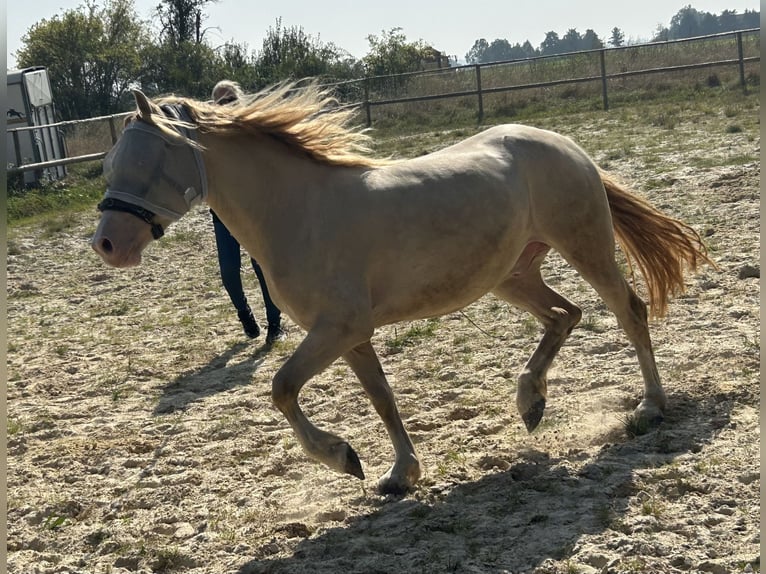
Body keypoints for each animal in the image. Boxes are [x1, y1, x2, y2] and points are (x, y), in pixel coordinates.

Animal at [90, 83, 712, 498]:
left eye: (146, 161)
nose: (107, 245)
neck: (299, 211)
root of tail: (565, 143)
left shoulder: (338, 327)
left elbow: (282, 388)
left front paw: (343, 458)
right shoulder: (349, 335)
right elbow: (382, 398)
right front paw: (396, 473)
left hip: (584, 247)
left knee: (628, 311)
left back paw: (649, 408)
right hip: (511, 275)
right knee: (565, 316)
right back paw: (530, 402)